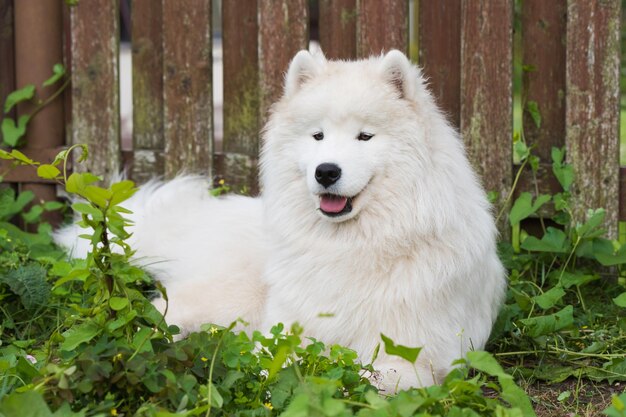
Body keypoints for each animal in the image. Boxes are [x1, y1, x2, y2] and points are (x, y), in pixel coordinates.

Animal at [54, 48, 508, 390]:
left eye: (365, 136)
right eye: (318, 135)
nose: (326, 171)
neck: (350, 246)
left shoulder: (413, 358)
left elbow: (361, 380)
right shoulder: (287, 331)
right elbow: (275, 364)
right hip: (221, 300)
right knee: (146, 327)